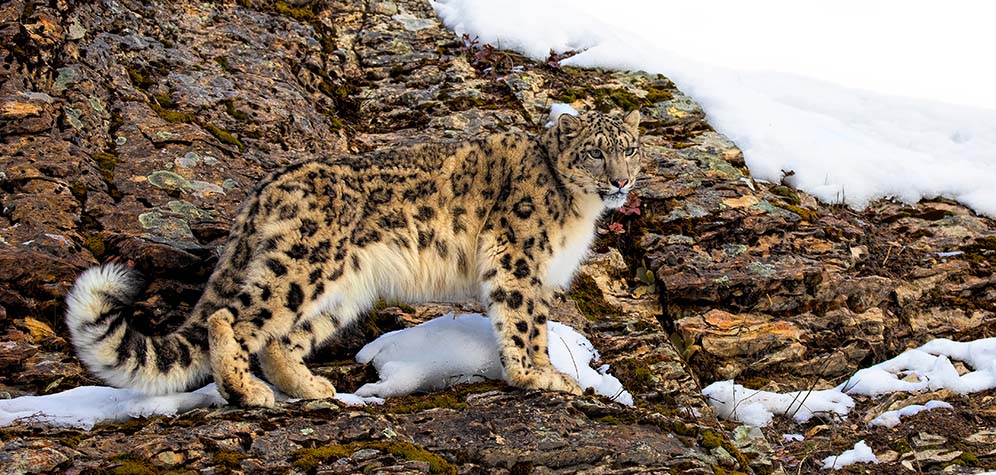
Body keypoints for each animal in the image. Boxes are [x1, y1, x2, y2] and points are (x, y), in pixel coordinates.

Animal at [64, 109, 642, 407]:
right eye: (596, 150)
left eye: (630, 148)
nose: (621, 181)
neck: (580, 209)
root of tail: (267, 188)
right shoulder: (518, 258)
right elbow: (525, 323)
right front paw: (542, 375)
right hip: (302, 266)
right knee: (232, 317)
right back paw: (246, 391)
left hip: (343, 289)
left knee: (281, 340)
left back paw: (311, 387)